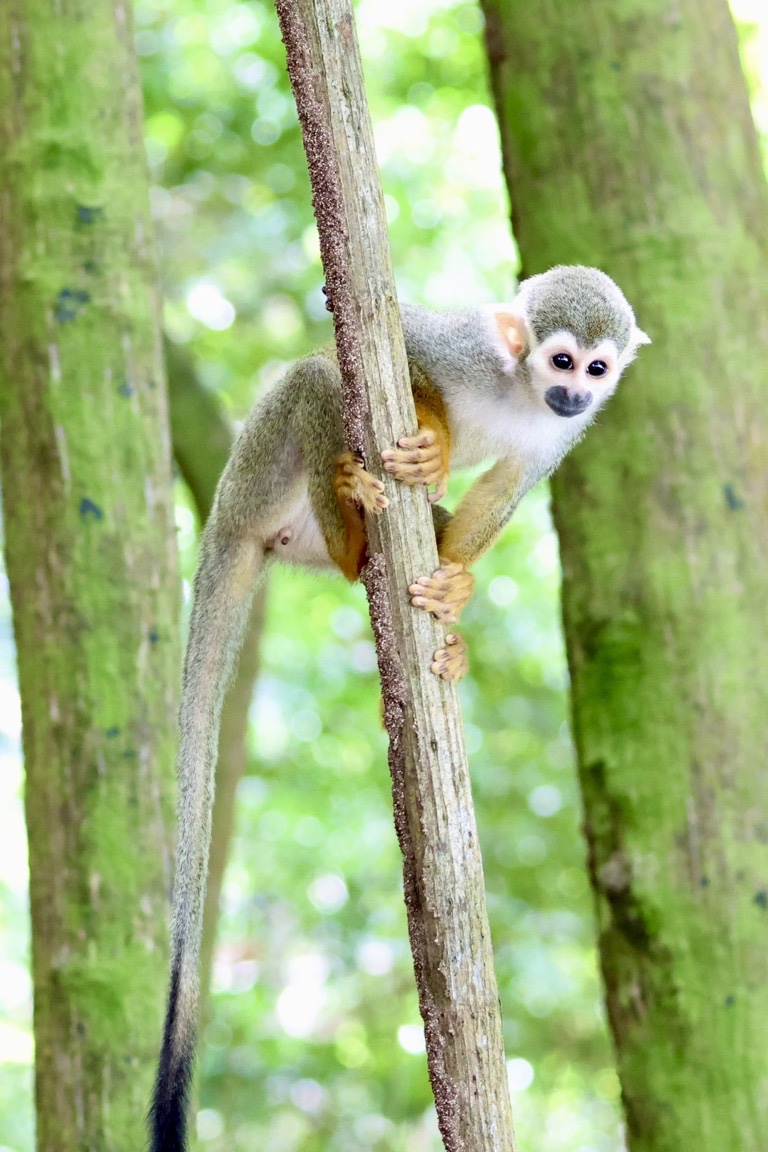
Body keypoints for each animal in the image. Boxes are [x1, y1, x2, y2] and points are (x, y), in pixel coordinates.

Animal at [148, 264, 649, 1152]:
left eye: (597, 369)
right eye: (559, 359)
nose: (574, 394)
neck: (520, 393)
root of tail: (227, 517)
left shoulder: (561, 439)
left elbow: (507, 488)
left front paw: (455, 584)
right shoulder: (468, 351)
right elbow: (379, 339)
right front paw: (438, 436)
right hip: (261, 463)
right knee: (315, 381)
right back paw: (357, 534)